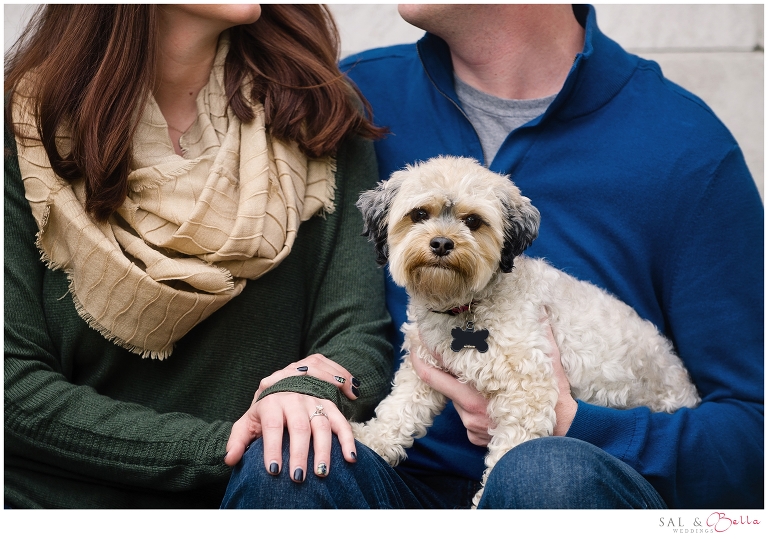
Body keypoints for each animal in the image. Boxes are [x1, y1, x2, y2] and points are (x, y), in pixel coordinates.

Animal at [352, 157, 700, 510]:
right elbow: (398, 410)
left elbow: (510, 451)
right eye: (419, 214)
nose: (441, 243)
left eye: (473, 221)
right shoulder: (422, 370)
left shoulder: (527, 389)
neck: (466, 305)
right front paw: (369, 439)